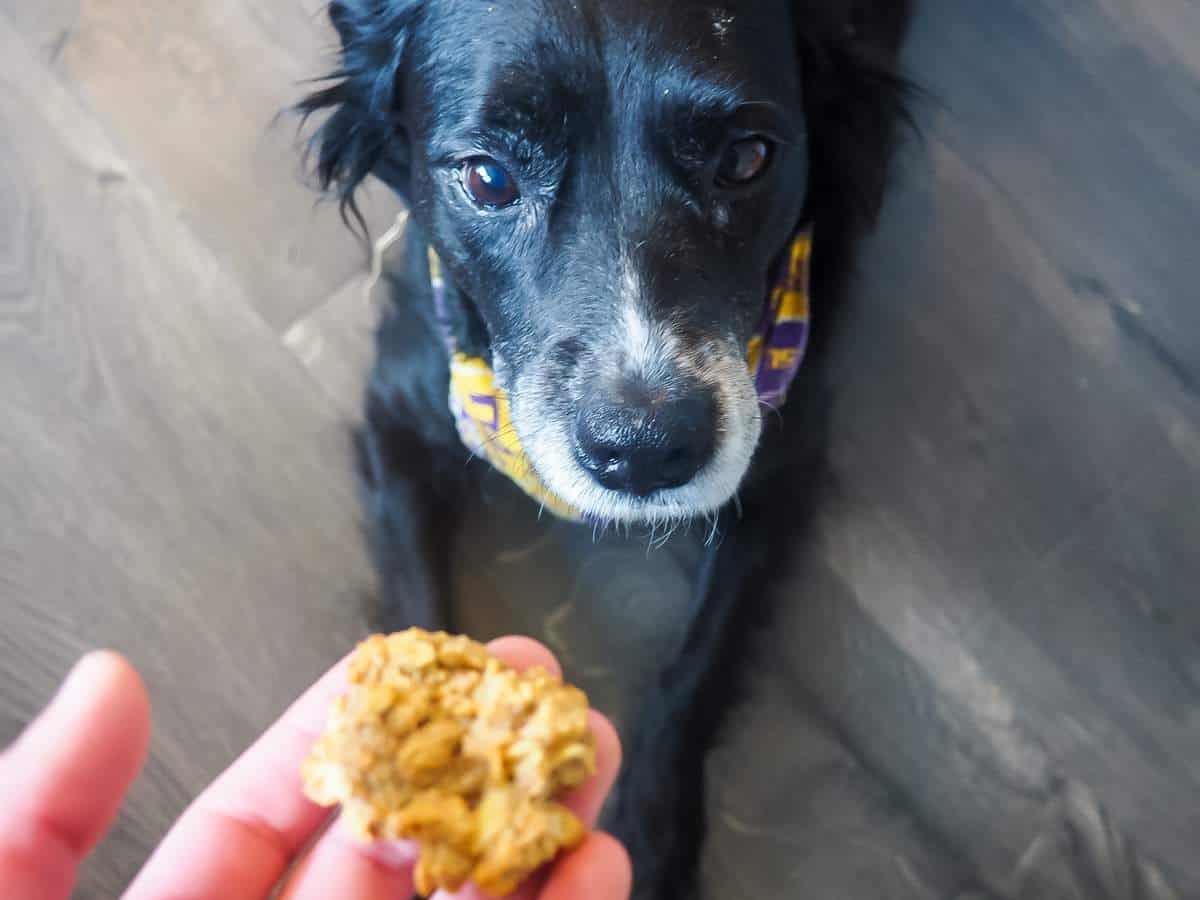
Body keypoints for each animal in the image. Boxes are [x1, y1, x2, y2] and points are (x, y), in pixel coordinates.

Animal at [297, 3, 907, 897]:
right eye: (487, 178)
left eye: (747, 158)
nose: (645, 452)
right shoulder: (402, 408)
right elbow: (417, 606)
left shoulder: (782, 465)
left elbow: (697, 667)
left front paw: (650, 844)